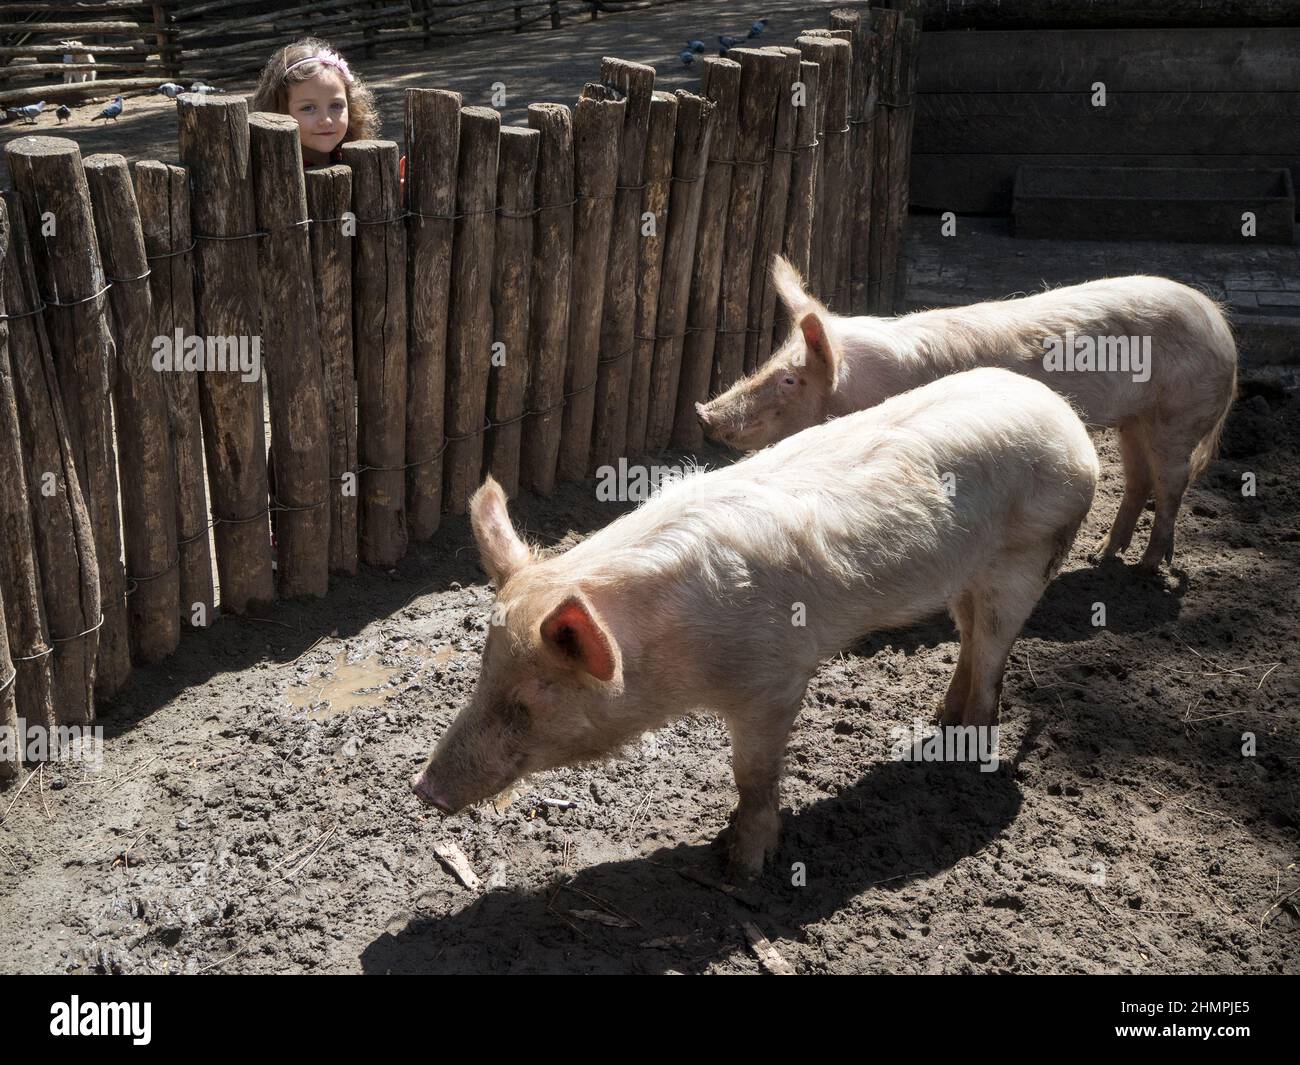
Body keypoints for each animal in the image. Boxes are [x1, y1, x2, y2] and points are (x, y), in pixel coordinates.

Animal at [408, 371, 1097, 879]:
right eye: (480, 676)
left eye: (527, 703)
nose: (423, 790)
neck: (669, 652)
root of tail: (1064, 417)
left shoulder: (774, 679)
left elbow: (755, 775)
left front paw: (739, 867)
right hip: (965, 577)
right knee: (974, 642)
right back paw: (942, 721)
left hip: (1028, 557)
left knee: (993, 654)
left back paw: (962, 755)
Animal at [702, 256, 1237, 574]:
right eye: (773, 359)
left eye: (790, 380)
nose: (705, 413)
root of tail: (1219, 325)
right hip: (1135, 418)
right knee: (1138, 480)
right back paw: (1105, 556)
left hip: (1178, 415)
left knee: (1172, 483)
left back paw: (1147, 567)